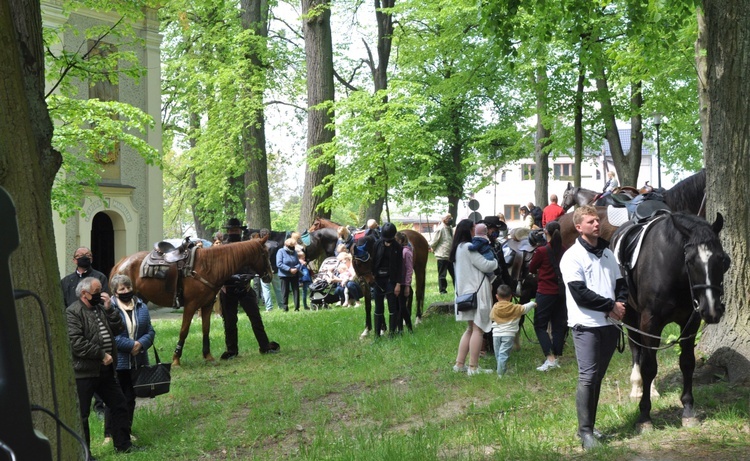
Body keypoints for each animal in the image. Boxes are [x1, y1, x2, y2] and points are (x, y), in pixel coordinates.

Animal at [110, 235, 274, 364]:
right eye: (265, 253)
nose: (270, 276)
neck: (208, 266)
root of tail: (120, 263)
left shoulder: (207, 305)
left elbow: (206, 329)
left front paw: (207, 355)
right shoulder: (190, 305)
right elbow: (184, 330)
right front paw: (176, 358)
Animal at [612, 212, 732, 432]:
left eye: (723, 259)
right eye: (690, 261)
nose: (712, 310)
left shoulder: (690, 322)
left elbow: (687, 363)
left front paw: (688, 409)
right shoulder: (650, 323)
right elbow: (649, 366)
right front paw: (644, 416)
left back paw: (651, 389)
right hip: (630, 315)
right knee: (636, 350)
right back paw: (637, 387)